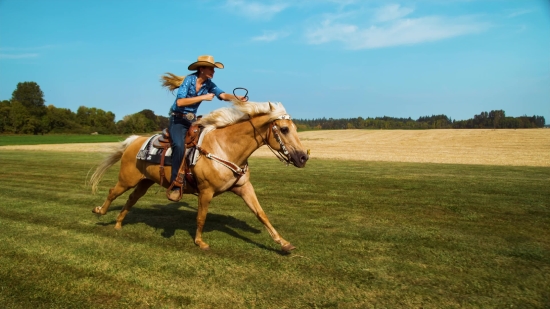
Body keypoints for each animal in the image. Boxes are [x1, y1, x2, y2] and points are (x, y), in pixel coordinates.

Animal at [88, 100, 308, 251]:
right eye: (284, 129)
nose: (303, 157)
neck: (225, 148)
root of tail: (134, 141)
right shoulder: (206, 191)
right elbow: (201, 216)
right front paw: (200, 242)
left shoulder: (244, 187)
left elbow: (261, 214)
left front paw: (283, 243)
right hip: (127, 179)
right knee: (113, 192)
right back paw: (99, 211)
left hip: (144, 182)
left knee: (132, 198)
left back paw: (118, 223)